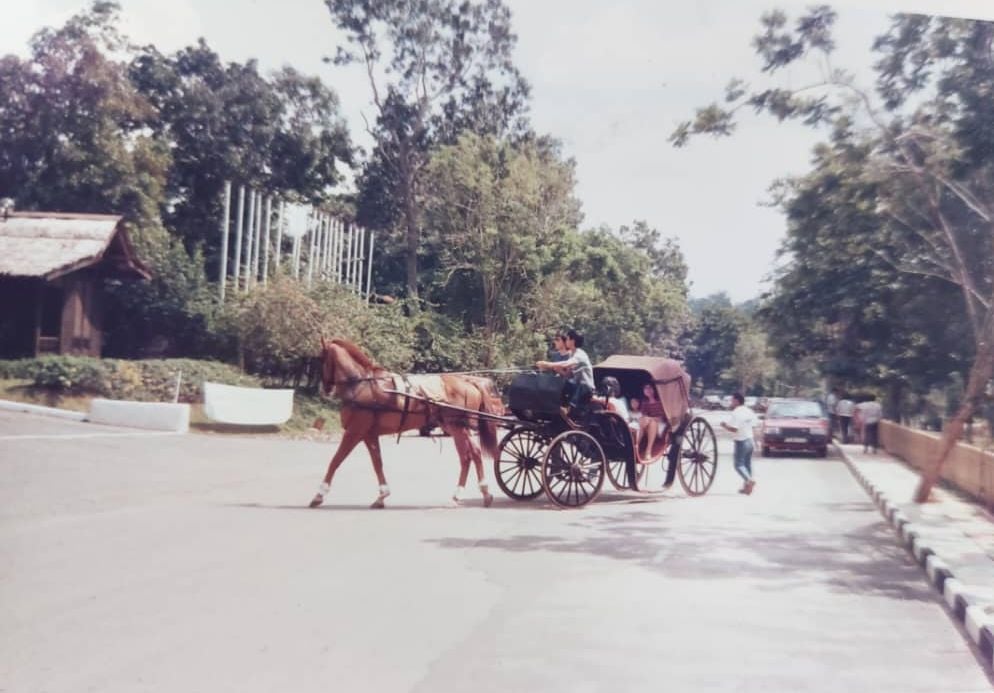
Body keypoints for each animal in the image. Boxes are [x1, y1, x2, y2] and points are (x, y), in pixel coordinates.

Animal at [306, 336, 500, 508]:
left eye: (321, 359)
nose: (325, 387)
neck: (361, 385)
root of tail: (470, 383)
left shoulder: (354, 432)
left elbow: (336, 460)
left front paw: (319, 495)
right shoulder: (368, 434)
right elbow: (377, 463)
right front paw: (382, 496)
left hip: (457, 427)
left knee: (471, 455)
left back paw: (479, 493)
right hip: (455, 427)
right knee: (469, 455)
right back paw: (465, 494)